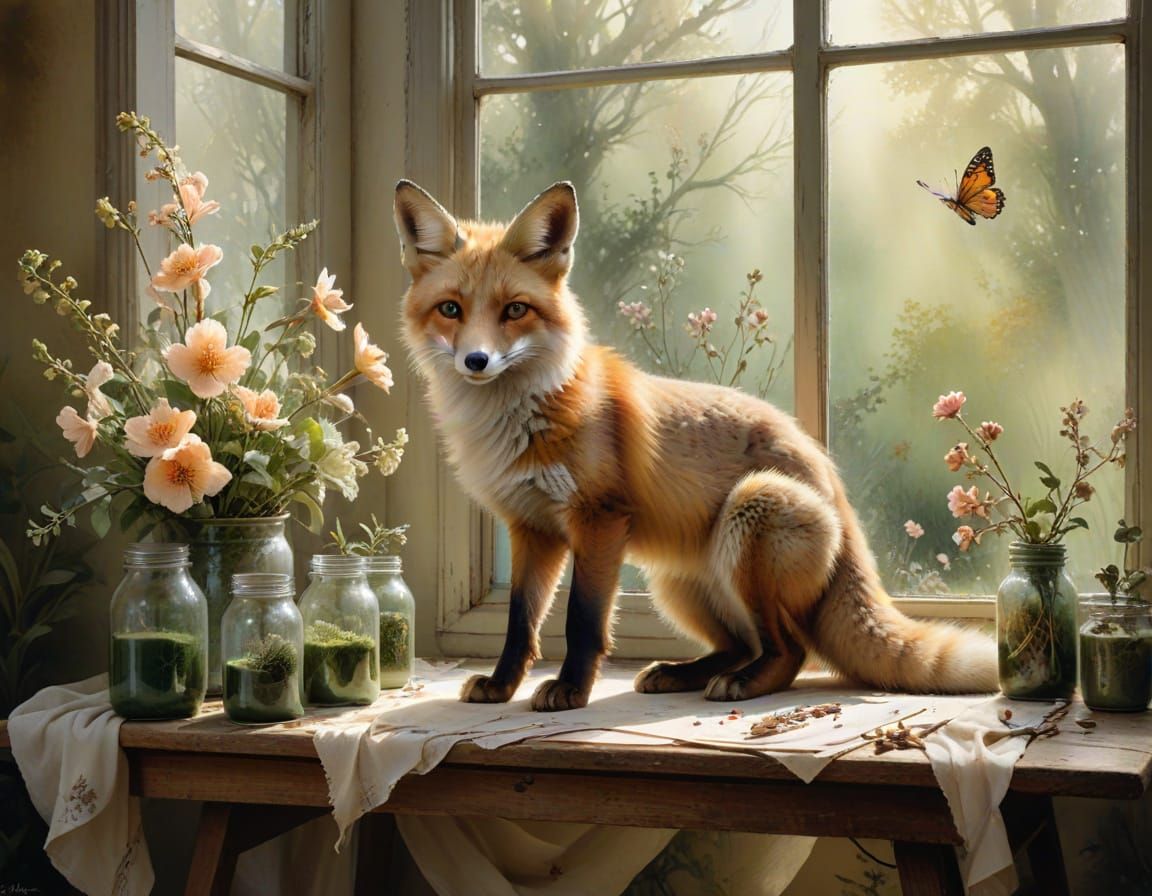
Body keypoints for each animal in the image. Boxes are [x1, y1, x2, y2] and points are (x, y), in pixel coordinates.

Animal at [394, 178, 998, 712]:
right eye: (451, 309)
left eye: (515, 310)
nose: (476, 361)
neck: (517, 421)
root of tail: (832, 482)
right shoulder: (532, 529)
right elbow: (521, 622)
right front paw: (501, 685)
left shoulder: (599, 519)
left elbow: (582, 620)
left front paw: (570, 691)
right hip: (674, 581)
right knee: (739, 643)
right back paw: (682, 671)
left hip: (748, 515)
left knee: (790, 650)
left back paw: (744, 683)